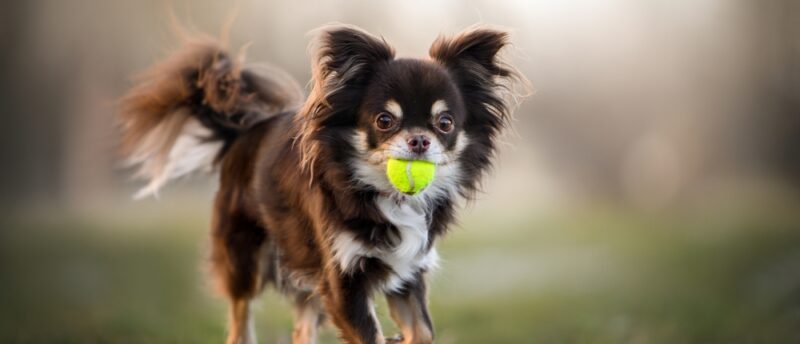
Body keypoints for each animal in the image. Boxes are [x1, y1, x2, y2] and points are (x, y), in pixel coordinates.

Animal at [117, 24, 520, 344]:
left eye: (445, 123)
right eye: (384, 120)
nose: (420, 140)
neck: (387, 196)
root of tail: (243, 130)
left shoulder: (408, 270)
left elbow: (422, 331)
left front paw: (402, 338)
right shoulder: (343, 278)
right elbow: (370, 335)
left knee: (302, 327)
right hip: (246, 255)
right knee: (240, 312)